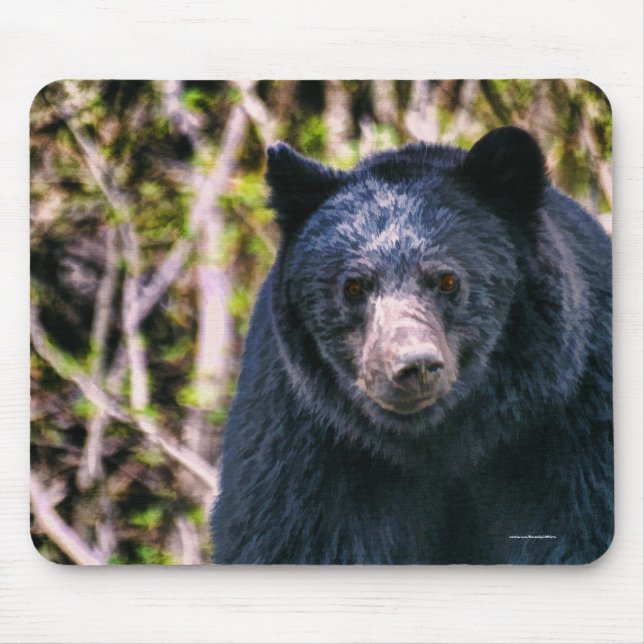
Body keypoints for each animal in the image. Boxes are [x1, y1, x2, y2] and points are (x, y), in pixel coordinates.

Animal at [211, 126, 613, 564]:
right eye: (354, 286)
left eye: (448, 280)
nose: (413, 366)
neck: (438, 441)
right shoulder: (301, 440)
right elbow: (291, 533)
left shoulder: (576, 422)